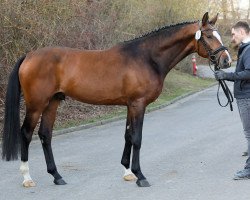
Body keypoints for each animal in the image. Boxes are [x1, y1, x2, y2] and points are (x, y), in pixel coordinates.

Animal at [0, 12, 230, 188]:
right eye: (209, 36)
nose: (226, 60)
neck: (146, 58)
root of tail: (29, 56)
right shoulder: (138, 104)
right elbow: (137, 138)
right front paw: (140, 176)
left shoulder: (130, 105)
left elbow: (128, 136)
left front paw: (128, 173)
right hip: (36, 104)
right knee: (26, 134)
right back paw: (27, 178)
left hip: (53, 102)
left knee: (45, 135)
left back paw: (57, 176)